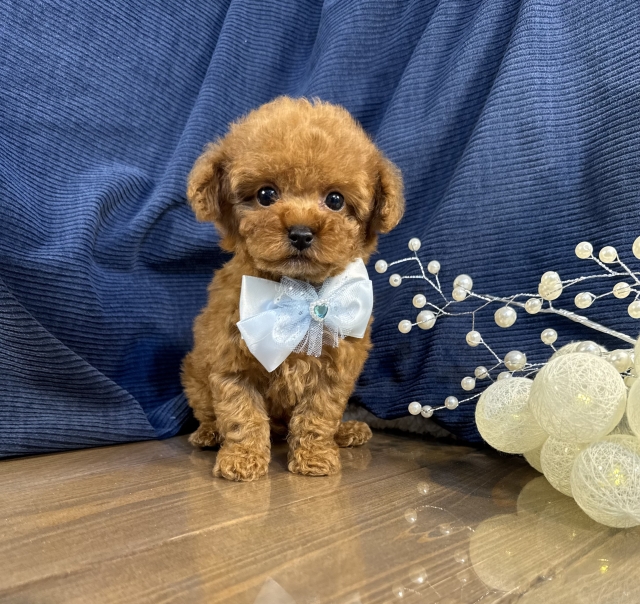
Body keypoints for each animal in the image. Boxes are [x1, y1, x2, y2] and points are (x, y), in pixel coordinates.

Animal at [181, 97, 404, 481]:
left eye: (335, 200)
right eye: (266, 194)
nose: (301, 232)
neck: (296, 293)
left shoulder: (335, 369)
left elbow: (319, 413)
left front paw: (315, 456)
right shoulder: (231, 362)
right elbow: (241, 414)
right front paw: (242, 459)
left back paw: (347, 431)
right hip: (194, 373)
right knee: (209, 412)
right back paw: (208, 434)